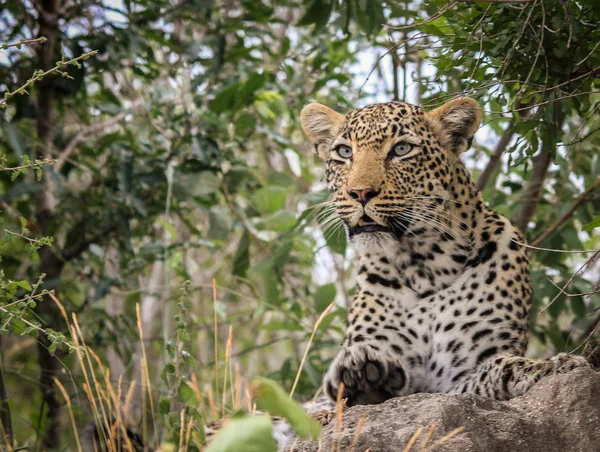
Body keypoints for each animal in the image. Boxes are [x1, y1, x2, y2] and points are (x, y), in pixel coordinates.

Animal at [298, 97, 588, 408]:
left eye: (402, 149)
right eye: (344, 152)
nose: (360, 193)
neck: (424, 264)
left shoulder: (456, 379)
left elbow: (500, 367)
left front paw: (554, 366)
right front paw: (362, 374)